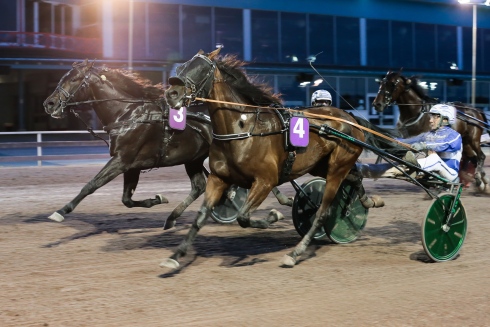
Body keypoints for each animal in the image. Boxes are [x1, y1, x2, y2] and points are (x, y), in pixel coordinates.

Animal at [163, 48, 370, 268]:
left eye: (200, 70)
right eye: (183, 67)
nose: (171, 94)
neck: (242, 129)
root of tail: (351, 119)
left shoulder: (265, 181)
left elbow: (243, 217)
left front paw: (273, 216)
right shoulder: (218, 178)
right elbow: (201, 217)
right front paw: (175, 256)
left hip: (337, 167)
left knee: (323, 213)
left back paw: (295, 252)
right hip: (321, 165)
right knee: (355, 178)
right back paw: (366, 201)